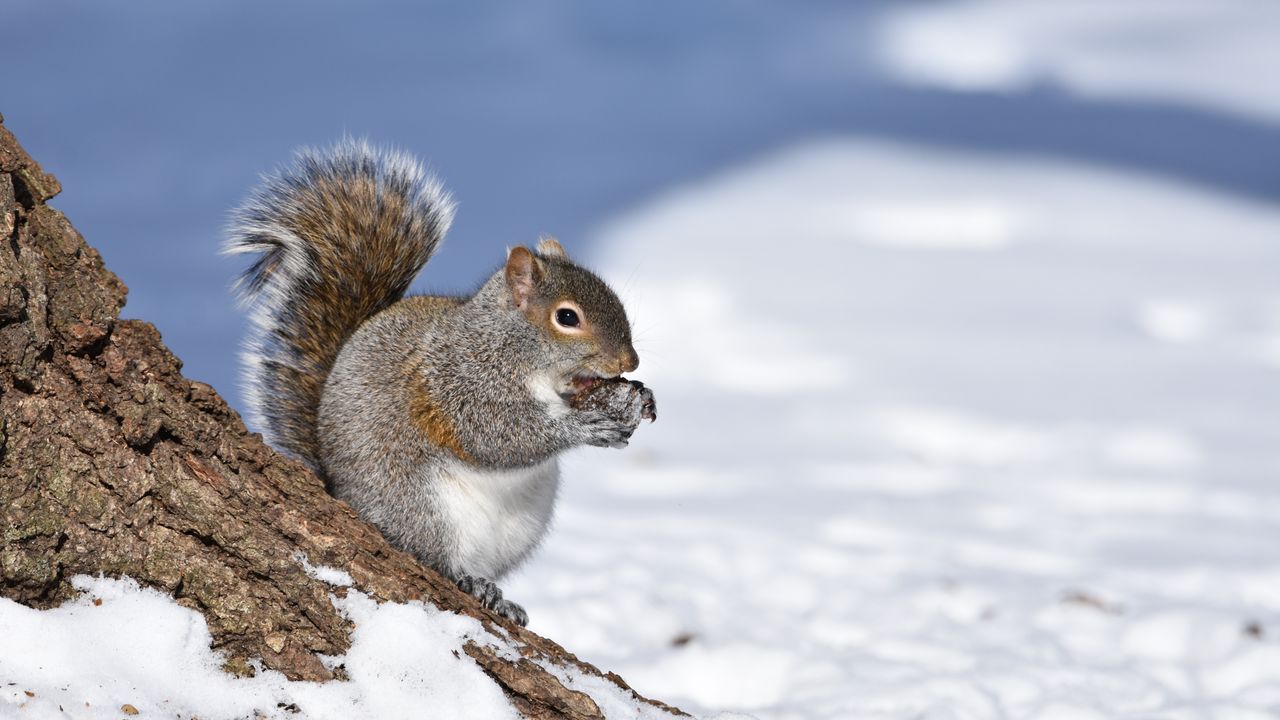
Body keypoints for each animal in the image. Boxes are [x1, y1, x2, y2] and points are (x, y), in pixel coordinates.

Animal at [224, 139, 655, 625]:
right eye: (567, 317)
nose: (630, 360)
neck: (511, 347)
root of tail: (338, 492)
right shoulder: (459, 383)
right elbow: (497, 436)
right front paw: (585, 427)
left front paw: (640, 400)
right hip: (420, 508)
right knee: (434, 558)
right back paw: (469, 580)